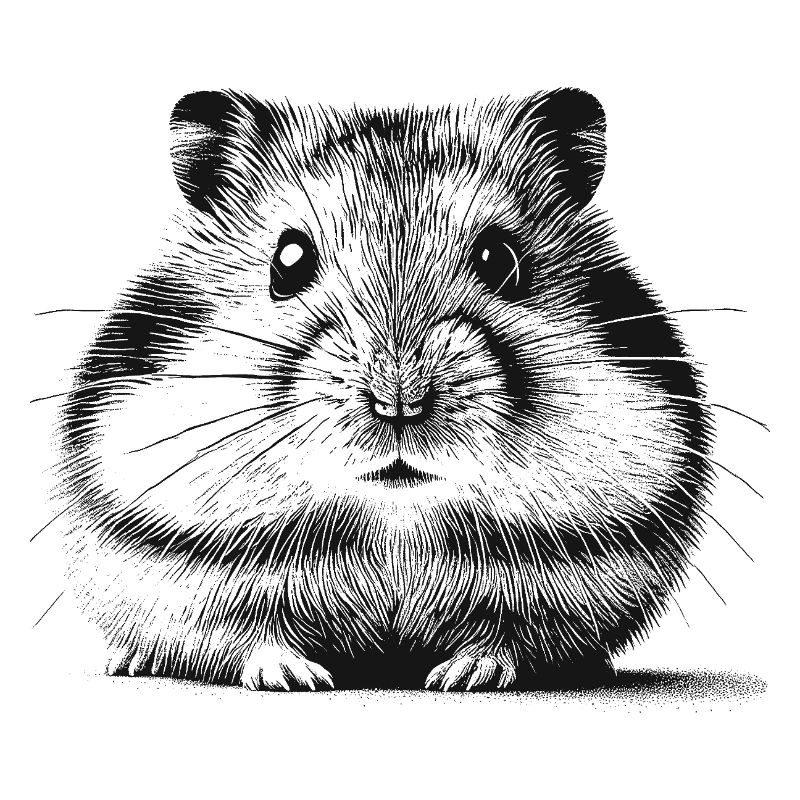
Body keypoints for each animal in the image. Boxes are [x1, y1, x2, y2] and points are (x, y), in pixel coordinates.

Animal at [55, 88, 712, 690]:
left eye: (500, 259)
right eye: (287, 261)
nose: (399, 400)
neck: (394, 527)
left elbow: (513, 633)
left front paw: (464, 676)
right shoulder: (175, 562)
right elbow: (242, 633)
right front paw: (297, 678)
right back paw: (127, 661)